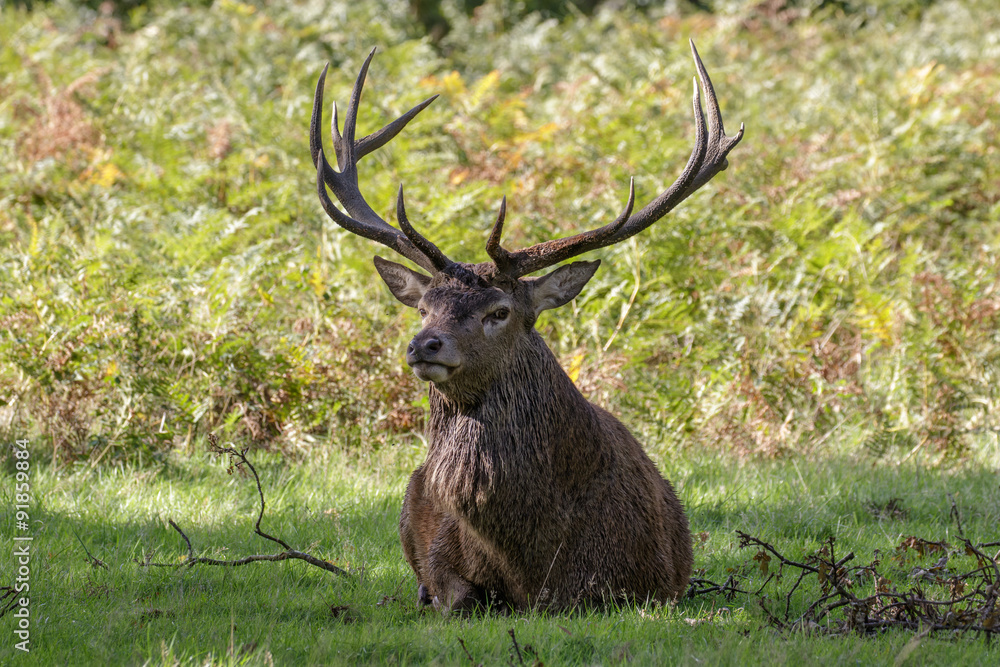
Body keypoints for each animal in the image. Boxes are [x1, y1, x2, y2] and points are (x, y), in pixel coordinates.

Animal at [309, 42, 743, 613]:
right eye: (424, 306)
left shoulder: (648, 581)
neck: (537, 561)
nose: (424, 345)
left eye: (500, 311)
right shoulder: (445, 560)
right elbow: (455, 595)